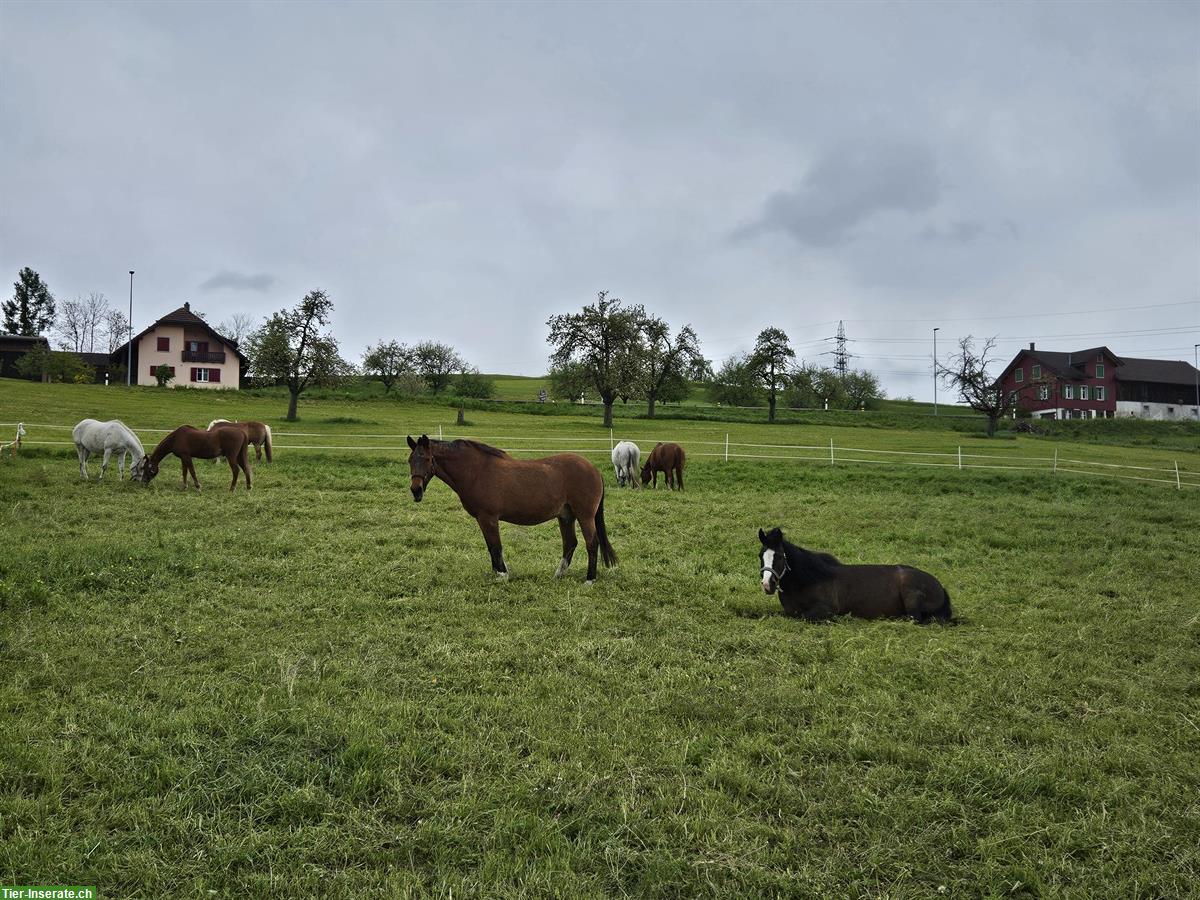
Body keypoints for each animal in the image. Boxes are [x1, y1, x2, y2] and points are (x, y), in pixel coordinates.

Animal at [410, 434, 619, 585]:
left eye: (427, 459)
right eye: (410, 460)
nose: (416, 490)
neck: (476, 471)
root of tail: (593, 469)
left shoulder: (488, 518)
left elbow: (496, 546)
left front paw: (502, 575)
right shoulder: (482, 519)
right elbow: (491, 547)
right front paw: (497, 572)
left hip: (585, 516)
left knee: (591, 543)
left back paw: (590, 579)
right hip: (566, 516)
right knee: (570, 543)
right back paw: (558, 575)